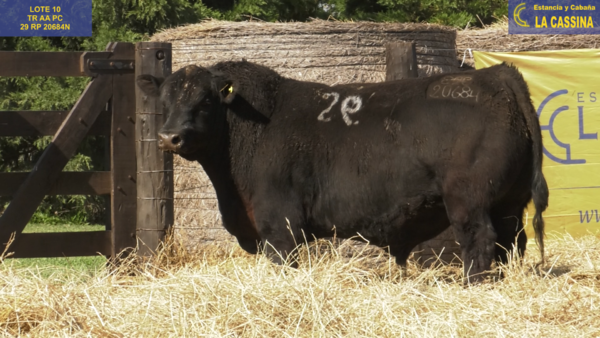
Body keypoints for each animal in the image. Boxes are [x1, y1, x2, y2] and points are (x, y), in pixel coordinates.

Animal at [137, 61, 548, 282]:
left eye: (205, 101)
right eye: (164, 101)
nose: (169, 137)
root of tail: (495, 75)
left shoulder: (280, 226)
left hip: (468, 202)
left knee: (480, 242)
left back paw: (471, 284)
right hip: (509, 203)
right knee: (511, 243)